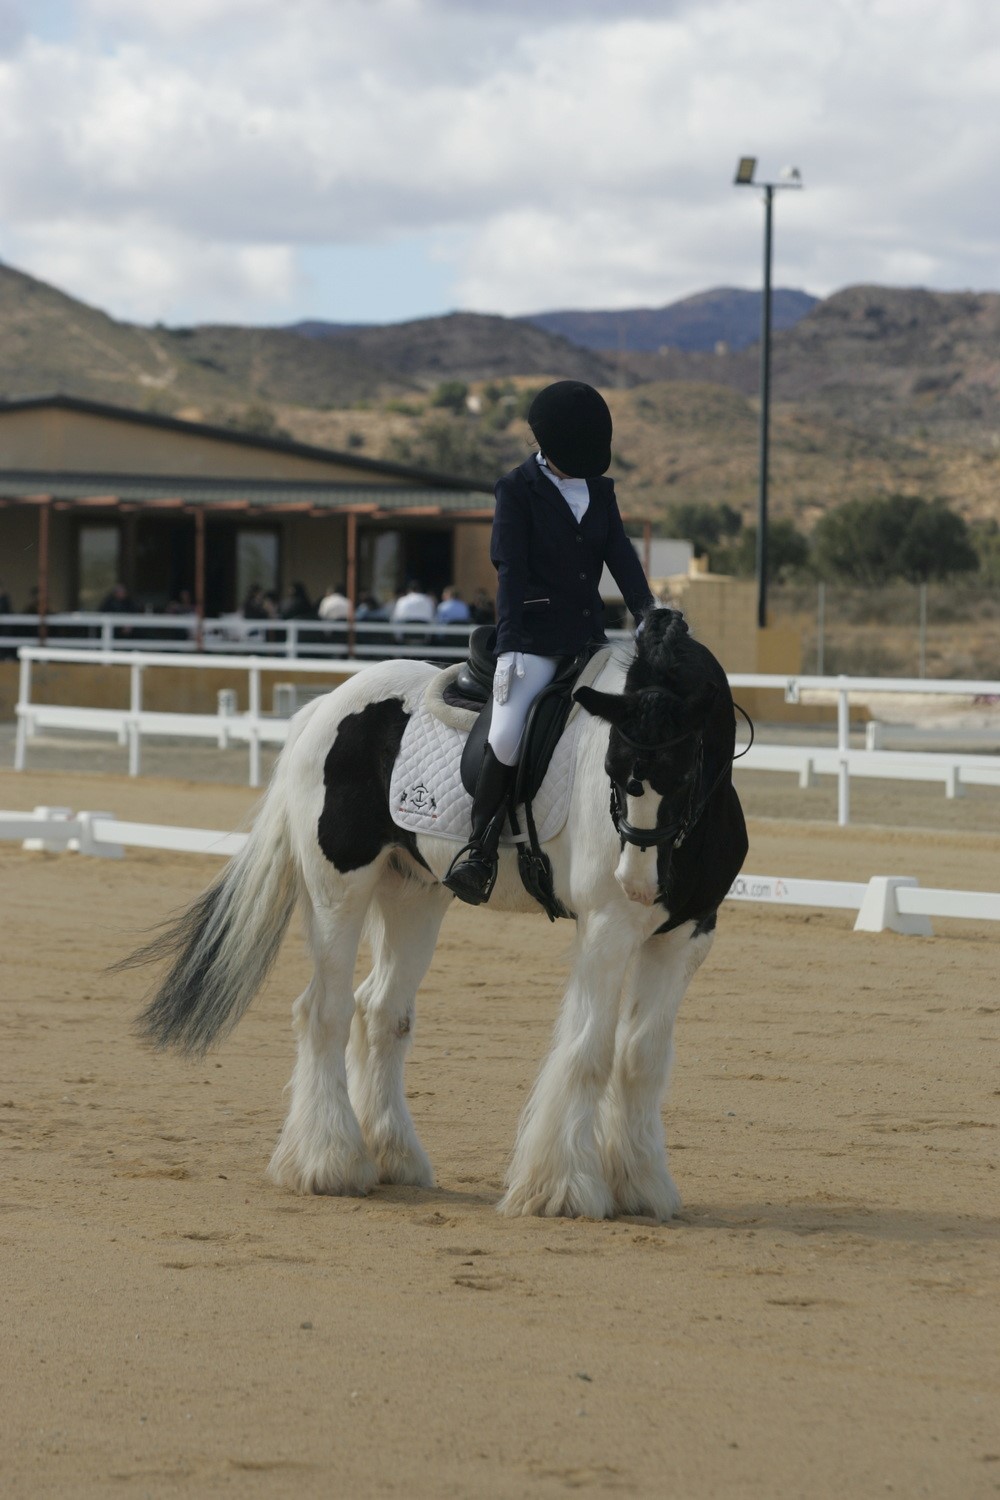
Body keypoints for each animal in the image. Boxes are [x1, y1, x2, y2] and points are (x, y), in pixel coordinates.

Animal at [125, 607, 748, 1221]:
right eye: (614, 770)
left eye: (685, 769)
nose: (638, 884)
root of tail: (327, 705)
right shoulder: (607, 929)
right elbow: (589, 1052)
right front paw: (562, 1190)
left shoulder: (685, 935)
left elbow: (643, 1056)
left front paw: (643, 1186)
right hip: (339, 891)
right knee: (323, 1011)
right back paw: (330, 1164)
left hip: (414, 896)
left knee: (381, 1011)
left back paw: (393, 1156)